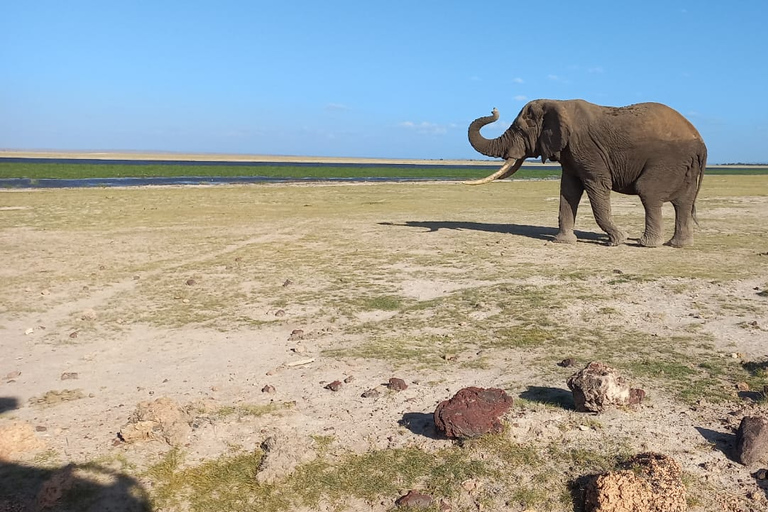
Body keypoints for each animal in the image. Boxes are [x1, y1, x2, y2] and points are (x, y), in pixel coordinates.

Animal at [464, 100, 704, 248]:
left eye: (520, 130)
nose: (494, 109)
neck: (558, 103)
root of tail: (700, 141)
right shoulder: (570, 154)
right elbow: (568, 191)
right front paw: (564, 242)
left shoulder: (587, 149)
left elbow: (597, 186)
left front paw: (618, 240)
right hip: (684, 165)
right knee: (683, 202)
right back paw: (679, 244)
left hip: (668, 159)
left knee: (648, 192)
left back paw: (647, 244)